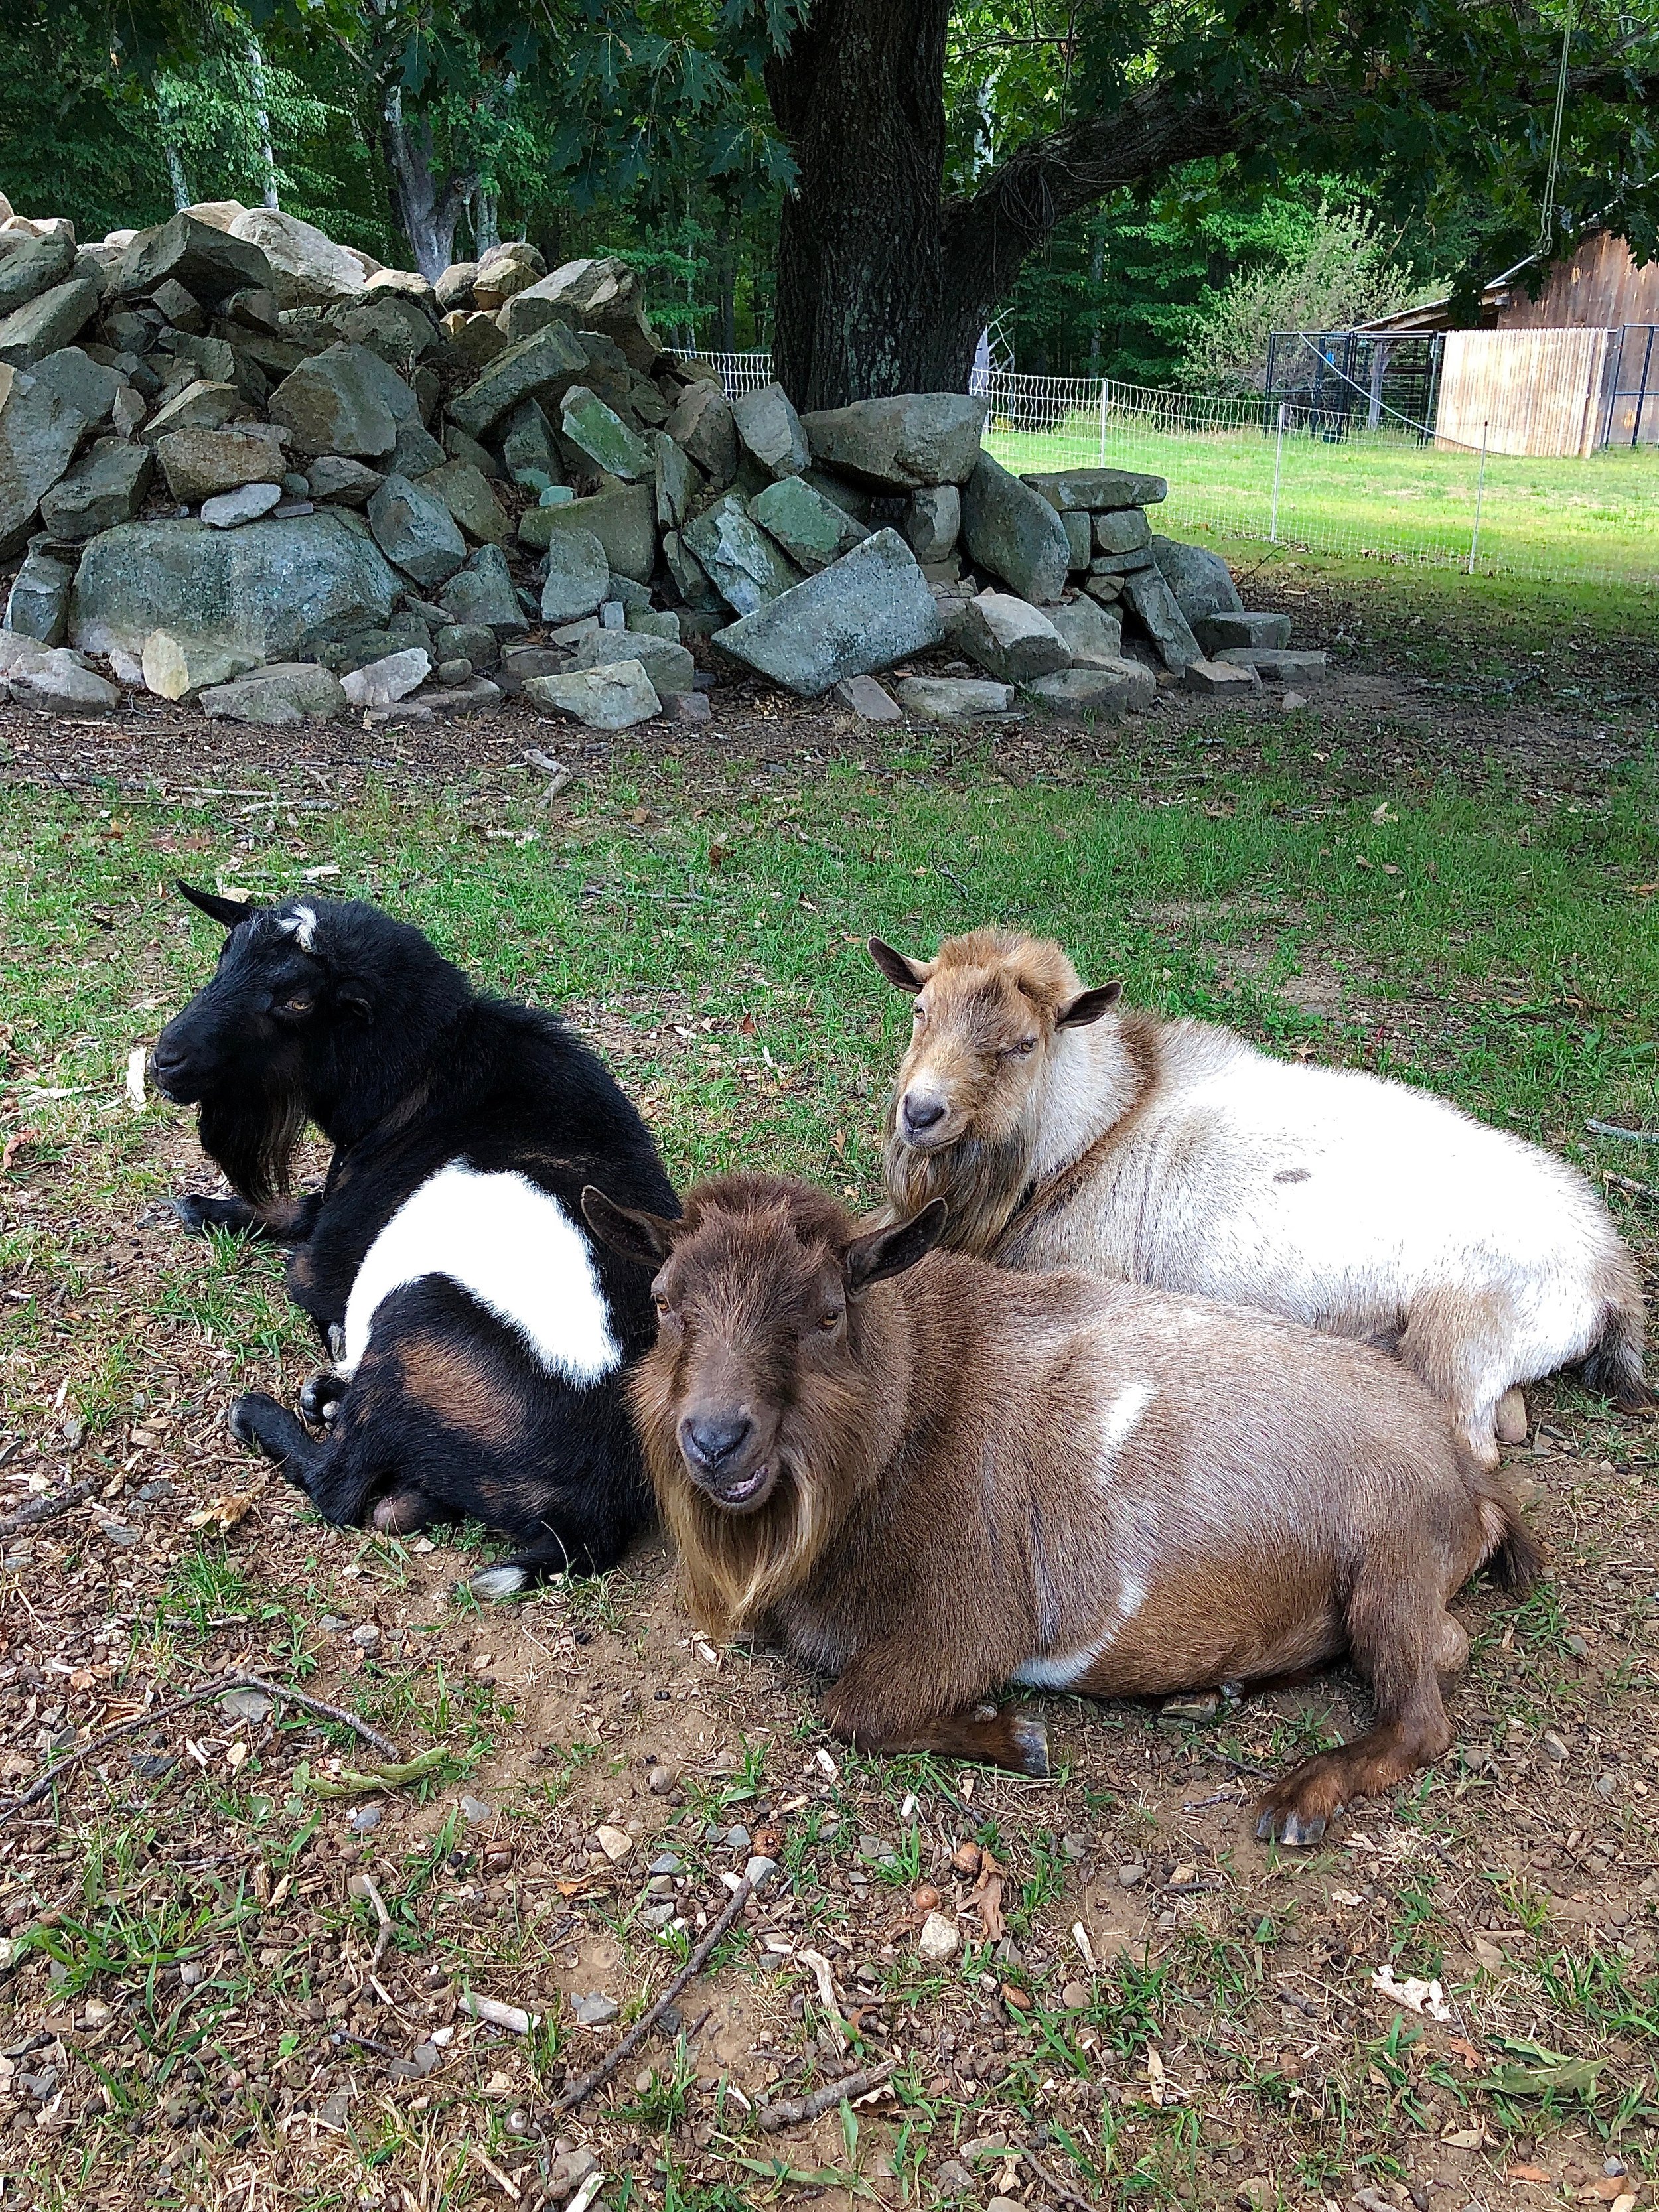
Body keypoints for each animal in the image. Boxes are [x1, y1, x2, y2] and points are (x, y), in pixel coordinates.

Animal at [151, 880, 681, 1592]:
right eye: (223, 957)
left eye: (297, 999)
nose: (165, 1061)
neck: (427, 1071)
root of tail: (591, 1515)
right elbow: (305, 1207)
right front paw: (206, 1208)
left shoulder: (331, 1256)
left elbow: (306, 1250)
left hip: (417, 1315)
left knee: (341, 1488)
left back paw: (265, 1414)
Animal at [871, 933, 1654, 1468]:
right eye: (919, 1010)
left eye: (1024, 1043)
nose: (921, 1112)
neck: (1097, 1127)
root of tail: (1608, 1273)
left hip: (1461, 1341)